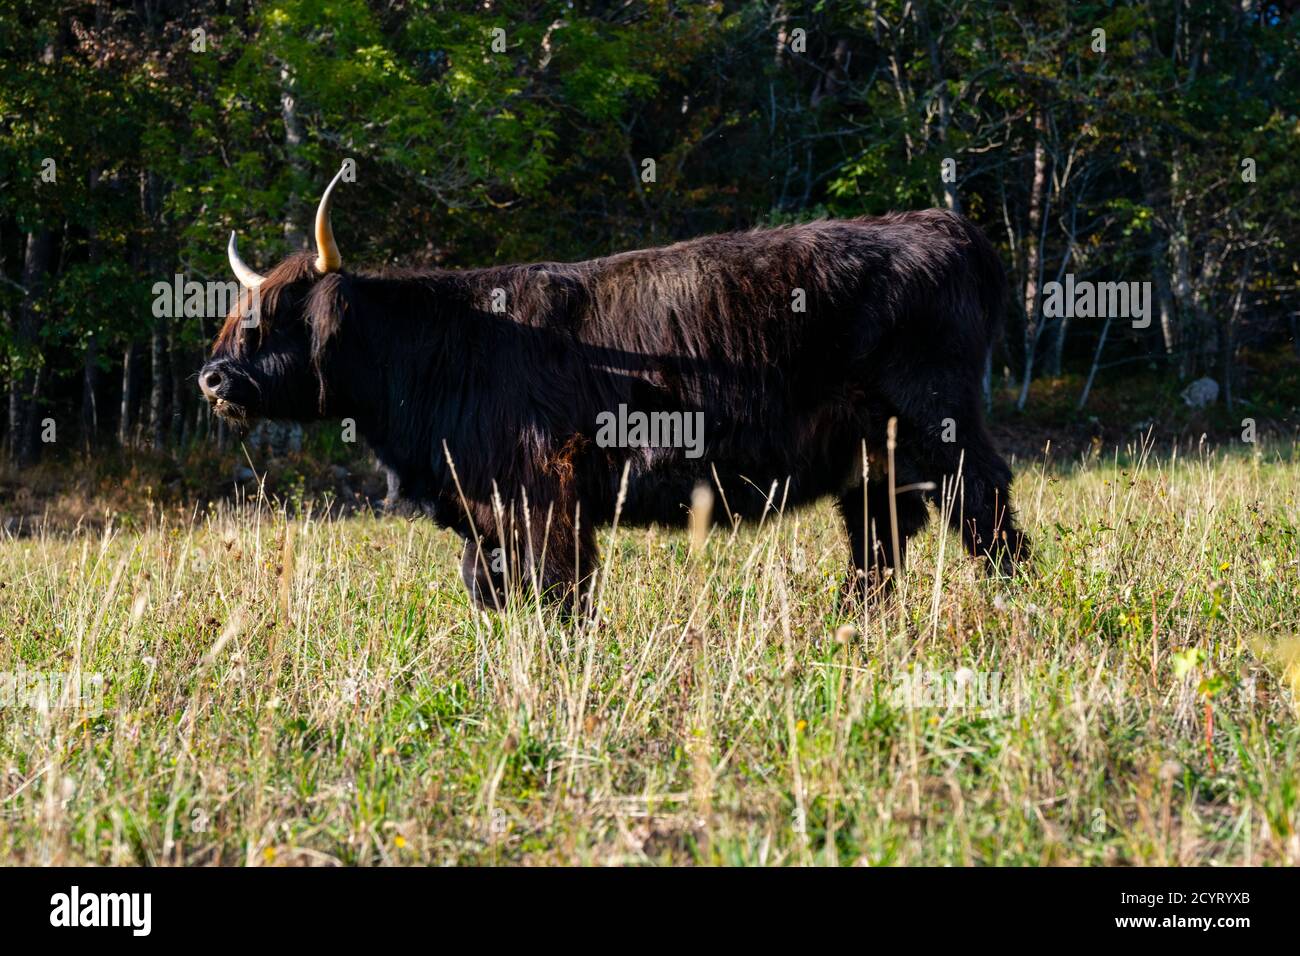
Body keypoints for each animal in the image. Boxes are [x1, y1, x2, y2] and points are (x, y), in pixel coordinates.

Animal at [201, 165, 1029, 613]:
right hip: (869, 449)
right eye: (238, 316)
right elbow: (489, 589)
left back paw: (1011, 602)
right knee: (878, 532)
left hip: (940, 420)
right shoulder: (483, 511)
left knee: (984, 505)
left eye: (274, 320)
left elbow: (561, 594)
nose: (211, 377)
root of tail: (940, 226)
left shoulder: (544, 495)